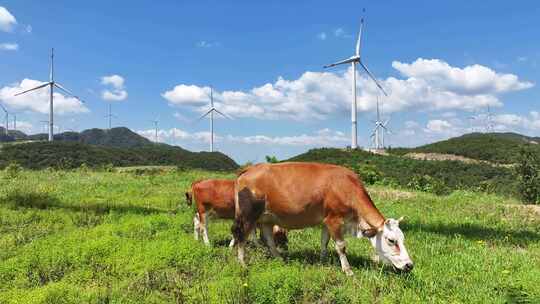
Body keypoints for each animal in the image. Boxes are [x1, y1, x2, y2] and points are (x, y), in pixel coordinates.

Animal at [232, 163, 414, 276]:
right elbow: (341, 246)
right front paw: (347, 270)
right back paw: (243, 263)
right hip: (248, 216)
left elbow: (324, 242)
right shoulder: (335, 220)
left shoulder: (326, 221)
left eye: (403, 239)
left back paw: (279, 259)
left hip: (267, 218)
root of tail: (249, 170)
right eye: (391, 240)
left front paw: (323, 261)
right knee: (241, 237)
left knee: (269, 239)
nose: (409, 265)